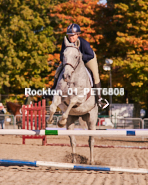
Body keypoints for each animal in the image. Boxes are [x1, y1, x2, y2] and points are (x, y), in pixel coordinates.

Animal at [48, 36, 97, 165]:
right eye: (64, 55)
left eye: (76, 56)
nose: (66, 76)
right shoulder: (58, 94)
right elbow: (53, 106)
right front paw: (52, 121)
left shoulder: (80, 97)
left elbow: (73, 102)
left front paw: (61, 120)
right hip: (72, 121)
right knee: (73, 141)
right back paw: (74, 160)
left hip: (91, 119)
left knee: (91, 140)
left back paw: (91, 162)